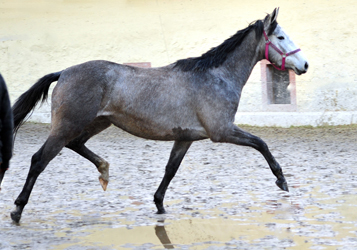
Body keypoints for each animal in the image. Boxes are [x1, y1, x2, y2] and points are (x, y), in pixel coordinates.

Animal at [9, 8, 308, 223]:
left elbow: (170, 170)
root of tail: (63, 72)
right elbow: (262, 144)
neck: (215, 76)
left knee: (76, 145)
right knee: (39, 160)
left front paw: (160, 205)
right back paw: (17, 210)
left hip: (97, 122)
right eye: (281, 38)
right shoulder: (222, 131)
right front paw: (282, 180)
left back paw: (104, 171)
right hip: (68, 125)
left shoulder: (185, 138)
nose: (304, 65)